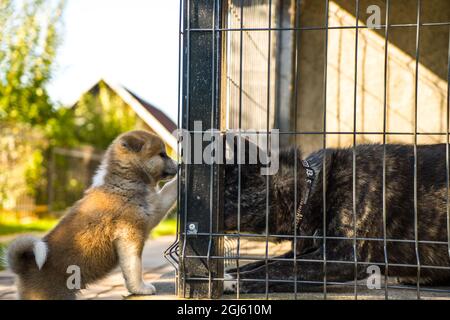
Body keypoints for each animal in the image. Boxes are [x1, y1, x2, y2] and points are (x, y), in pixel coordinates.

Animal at [6, 130, 178, 300]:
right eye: (162, 154)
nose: (178, 165)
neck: (124, 179)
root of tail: (24, 268)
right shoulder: (131, 235)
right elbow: (134, 267)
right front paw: (141, 288)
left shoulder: (153, 210)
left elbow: (167, 190)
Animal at [224, 142, 450, 292]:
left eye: (223, 188)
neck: (311, 190)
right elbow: (264, 262)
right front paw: (231, 272)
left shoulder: (342, 257)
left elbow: (277, 268)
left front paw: (232, 281)